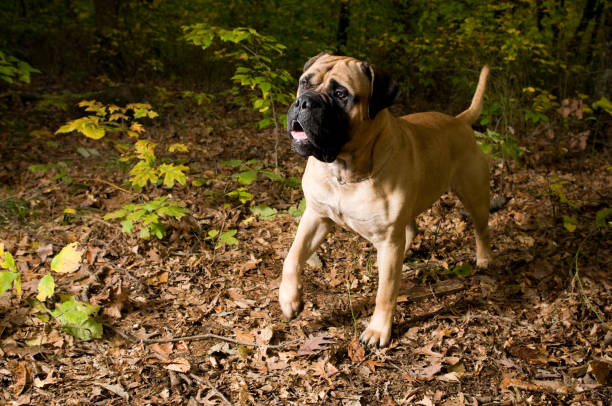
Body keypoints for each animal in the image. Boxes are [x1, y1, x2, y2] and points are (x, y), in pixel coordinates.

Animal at [280, 52, 490, 348]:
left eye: (340, 94)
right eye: (304, 83)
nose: (304, 102)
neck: (345, 171)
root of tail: (460, 120)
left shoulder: (388, 239)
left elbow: (386, 291)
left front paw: (378, 330)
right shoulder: (316, 216)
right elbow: (292, 256)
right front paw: (289, 299)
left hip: (474, 196)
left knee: (482, 229)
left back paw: (484, 258)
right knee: (412, 228)